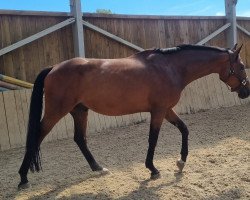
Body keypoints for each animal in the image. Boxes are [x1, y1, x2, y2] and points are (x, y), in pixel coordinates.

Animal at [17, 43, 250, 188]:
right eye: (240, 66)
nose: (246, 92)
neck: (170, 67)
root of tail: (54, 67)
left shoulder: (166, 109)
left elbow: (184, 129)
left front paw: (181, 162)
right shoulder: (158, 111)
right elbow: (153, 139)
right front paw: (153, 169)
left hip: (79, 111)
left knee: (80, 139)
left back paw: (98, 168)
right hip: (56, 112)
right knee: (36, 137)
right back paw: (23, 178)